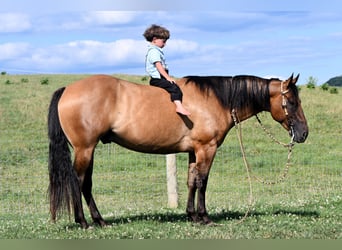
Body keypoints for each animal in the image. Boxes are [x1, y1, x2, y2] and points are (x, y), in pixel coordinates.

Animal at [47, 73, 308, 229]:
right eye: (292, 102)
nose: (304, 133)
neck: (216, 99)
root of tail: (67, 89)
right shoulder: (207, 148)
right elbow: (203, 181)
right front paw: (204, 217)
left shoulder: (194, 151)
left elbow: (191, 181)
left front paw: (191, 215)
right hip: (85, 149)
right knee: (79, 181)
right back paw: (84, 221)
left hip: (88, 150)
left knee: (86, 184)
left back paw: (99, 220)